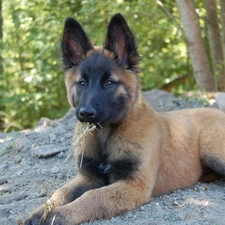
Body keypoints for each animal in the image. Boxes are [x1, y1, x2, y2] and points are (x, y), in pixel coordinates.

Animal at [24, 13, 225, 224]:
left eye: (109, 83)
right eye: (82, 83)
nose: (86, 113)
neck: (107, 135)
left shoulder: (133, 185)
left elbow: (92, 196)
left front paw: (61, 214)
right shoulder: (88, 178)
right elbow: (61, 192)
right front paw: (40, 211)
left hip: (212, 150)